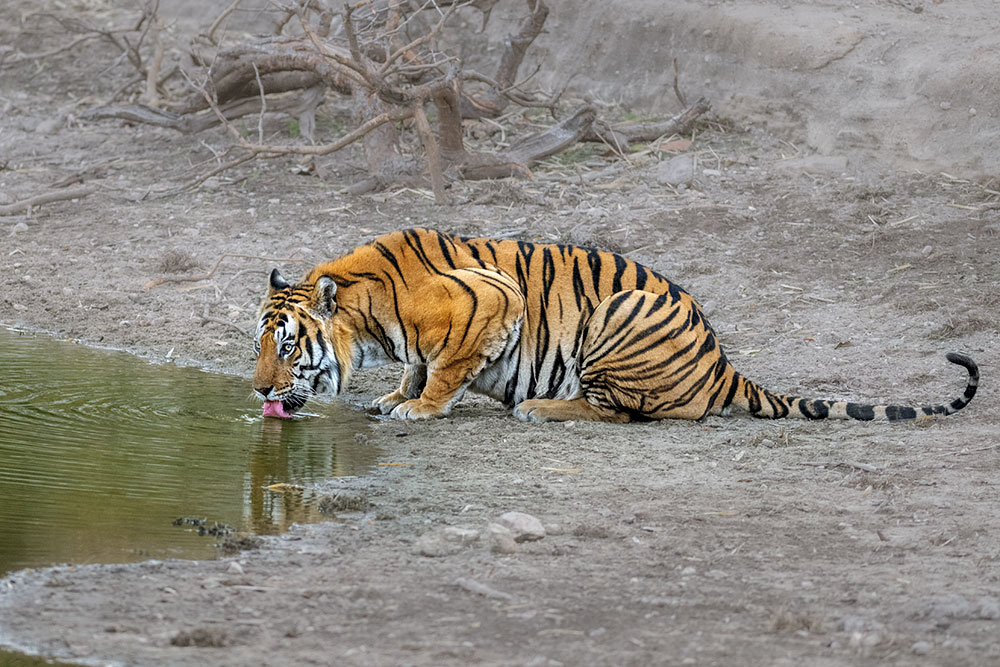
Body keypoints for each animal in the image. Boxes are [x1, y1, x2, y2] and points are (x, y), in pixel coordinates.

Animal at [252, 228, 978, 423]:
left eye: (288, 348)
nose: (257, 390)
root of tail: (723, 364)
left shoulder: (491, 301)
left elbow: (444, 367)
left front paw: (418, 408)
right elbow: (417, 363)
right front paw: (394, 395)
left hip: (617, 317)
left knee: (625, 411)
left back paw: (540, 408)